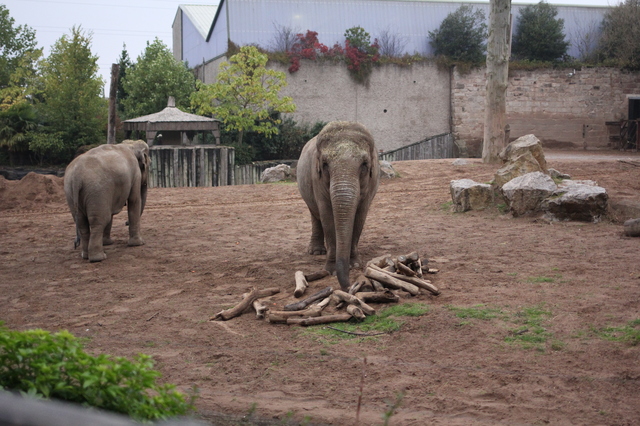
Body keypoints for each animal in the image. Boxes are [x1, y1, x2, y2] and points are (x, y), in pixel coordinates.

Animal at [296, 121, 380, 292]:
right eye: (325, 164)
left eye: (364, 164)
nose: (350, 286)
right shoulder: (316, 178)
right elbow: (327, 217)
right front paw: (332, 270)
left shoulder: (371, 183)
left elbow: (360, 217)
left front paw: (354, 264)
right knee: (315, 215)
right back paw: (317, 252)